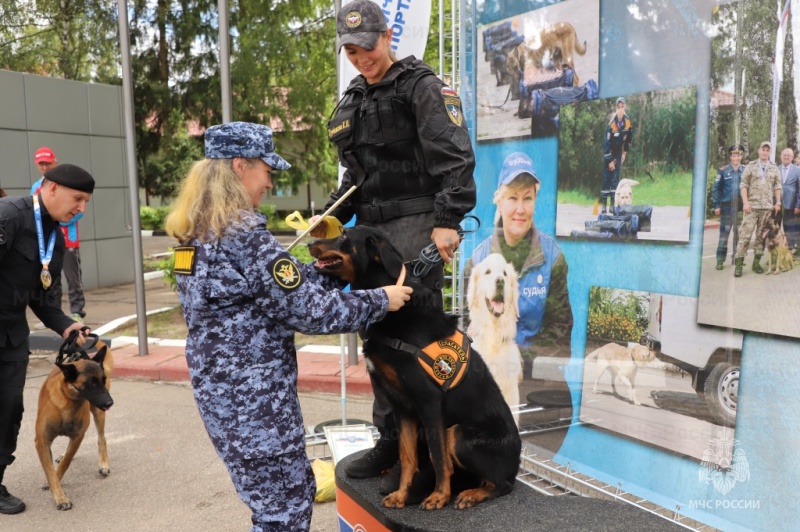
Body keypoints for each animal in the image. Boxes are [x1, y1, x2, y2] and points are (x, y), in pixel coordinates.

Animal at [34, 336, 114, 512]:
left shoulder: (78, 437)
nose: (110, 403)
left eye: (103, 380)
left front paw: (59, 491)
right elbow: (50, 470)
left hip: (98, 413)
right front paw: (60, 497)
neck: (68, 403)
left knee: (102, 438)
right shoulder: (42, 441)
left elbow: (66, 462)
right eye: (91, 383)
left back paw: (103, 464)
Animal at [306, 227, 520, 510]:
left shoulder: (428, 401)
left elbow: (438, 456)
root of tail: (517, 462)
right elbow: (408, 457)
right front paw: (401, 494)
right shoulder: (402, 406)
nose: (309, 243)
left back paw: (471, 494)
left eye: (343, 235)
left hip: (459, 433)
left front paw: (439, 496)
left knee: (502, 484)